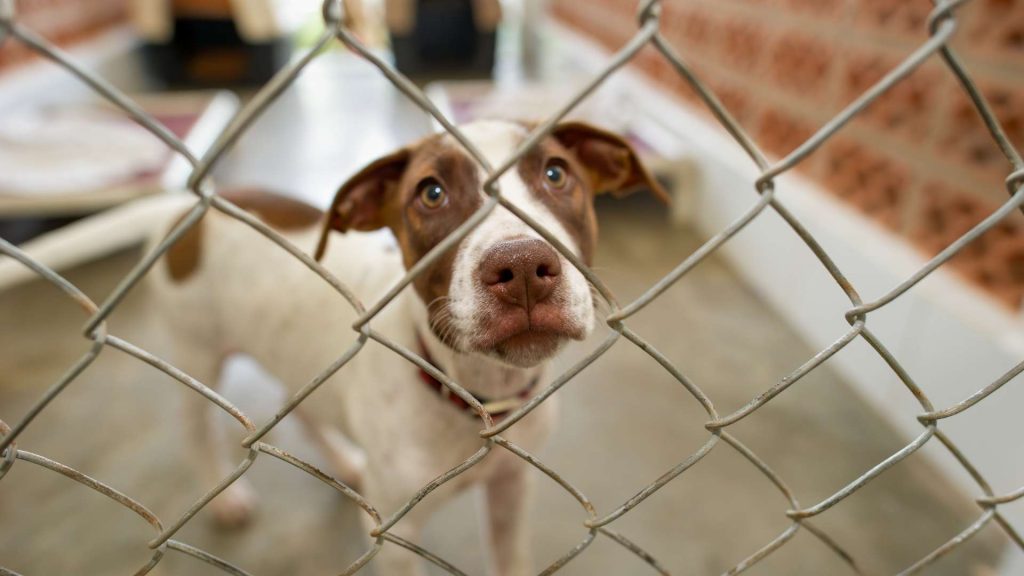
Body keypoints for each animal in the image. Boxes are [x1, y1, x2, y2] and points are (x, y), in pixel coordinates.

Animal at [148, 118, 667, 569]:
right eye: (431, 193)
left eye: (556, 173)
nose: (521, 266)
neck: (475, 397)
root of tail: (191, 210)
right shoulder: (394, 538)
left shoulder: (512, 489)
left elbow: (512, 559)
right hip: (196, 353)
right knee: (196, 431)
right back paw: (227, 499)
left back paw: (345, 463)